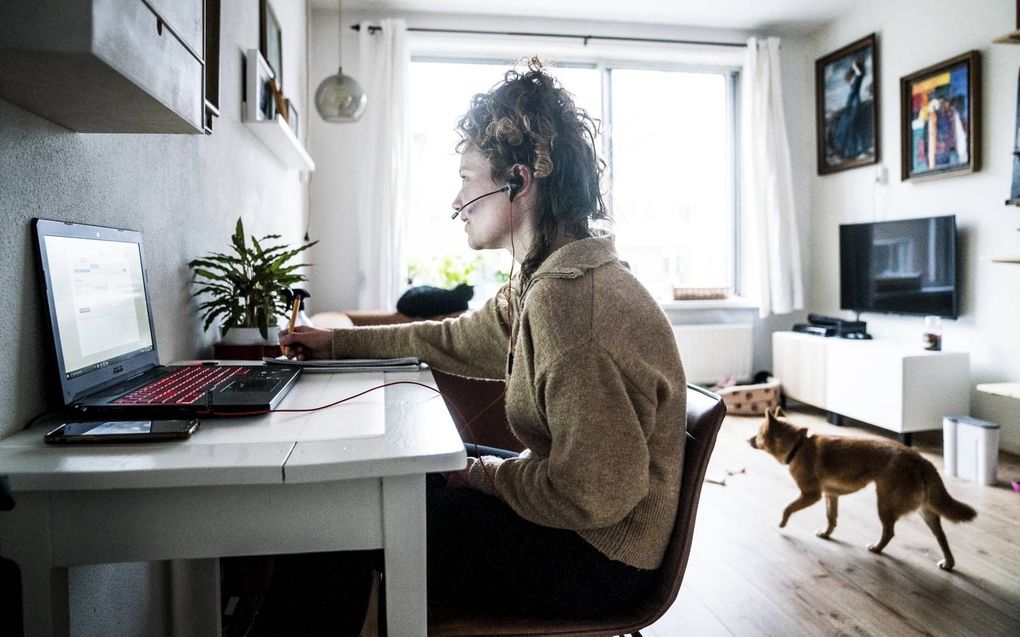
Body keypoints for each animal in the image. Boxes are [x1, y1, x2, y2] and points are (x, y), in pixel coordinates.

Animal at [746, 407, 975, 570]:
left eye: (757, 434)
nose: (747, 440)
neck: (799, 446)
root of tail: (920, 460)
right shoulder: (831, 495)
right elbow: (831, 518)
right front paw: (827, 533)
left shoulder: (811, 495)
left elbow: (787, 507)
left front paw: (782, 522)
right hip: (926, 512)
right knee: (941, 537)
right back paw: (948, 563)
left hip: (885, 503)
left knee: (889, 531)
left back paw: (877, 548)